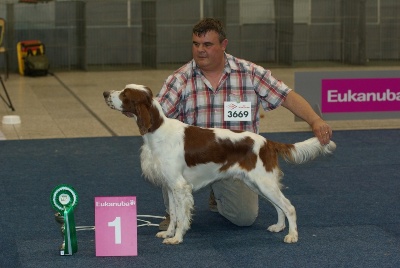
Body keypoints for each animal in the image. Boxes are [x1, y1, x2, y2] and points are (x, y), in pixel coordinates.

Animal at [102, 84, 334, 245]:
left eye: (125, 94)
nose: (105, 93)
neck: (157, 131)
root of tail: (268, 142)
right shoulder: (169, 185)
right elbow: (174, 214)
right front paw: (167, 233)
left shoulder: (179, 186)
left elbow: (182, 216)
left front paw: (176, 238)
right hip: (257, 183)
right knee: (279, 206)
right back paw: (278, 227)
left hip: (264, 182)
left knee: (289, 206)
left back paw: (292, 235)